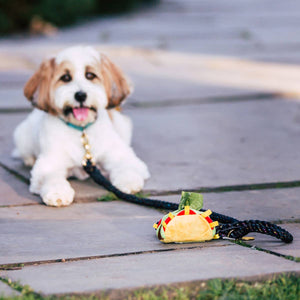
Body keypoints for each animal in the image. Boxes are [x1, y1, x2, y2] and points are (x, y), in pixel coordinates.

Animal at [13, 45, 150, 207]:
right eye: (65, 78)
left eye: (90, 75)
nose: (80, 95)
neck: (82, 131)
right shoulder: (48, 164)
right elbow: (51, 177)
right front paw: (57, 193)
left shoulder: (121, 154)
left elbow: (127, 165)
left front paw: (128, 181)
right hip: (22, 136)